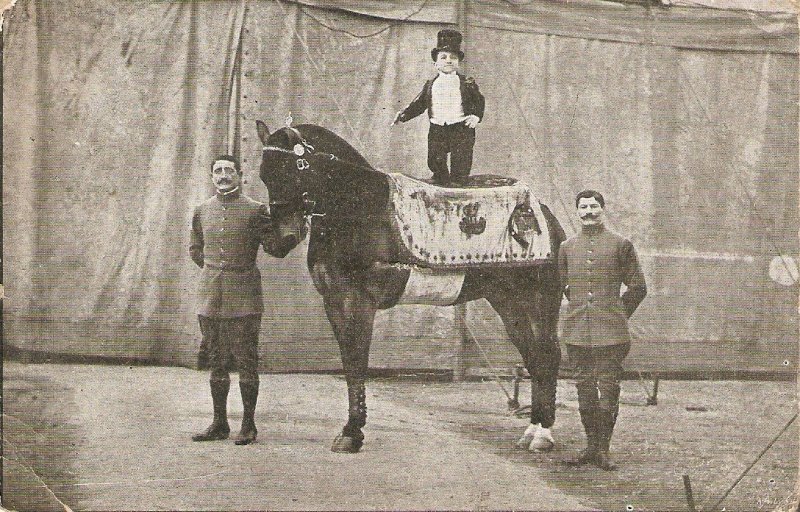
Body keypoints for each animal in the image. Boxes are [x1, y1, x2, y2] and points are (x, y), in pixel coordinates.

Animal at [258, 121, 568, 452]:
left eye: (293, 170)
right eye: (264, 176)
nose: (278, 240)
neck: (359, 211)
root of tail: (546, 217)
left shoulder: (359, 302)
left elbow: (357, 362)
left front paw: (353, 432)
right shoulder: (334, 301)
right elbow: (348, 363)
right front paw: (351, 430)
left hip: (538, 301)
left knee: (548, 355)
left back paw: (543, 435)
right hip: (509, 304)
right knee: (533, 356)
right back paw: (532, 429)